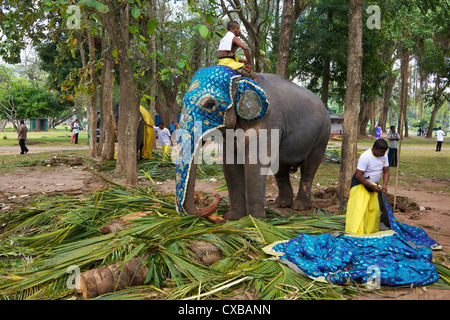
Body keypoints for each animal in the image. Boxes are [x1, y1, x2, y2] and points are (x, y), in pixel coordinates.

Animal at [176, 65, 330, 222]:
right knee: (281, 169)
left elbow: (255, 164)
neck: (241, 76)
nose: (216, 196)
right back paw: (281, 204)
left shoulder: (268, 121)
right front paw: (233, 217)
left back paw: (300, 207)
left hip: (322, 136)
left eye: (209, 104)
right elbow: (230, 166)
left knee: (309, 168)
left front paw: (255, 220)